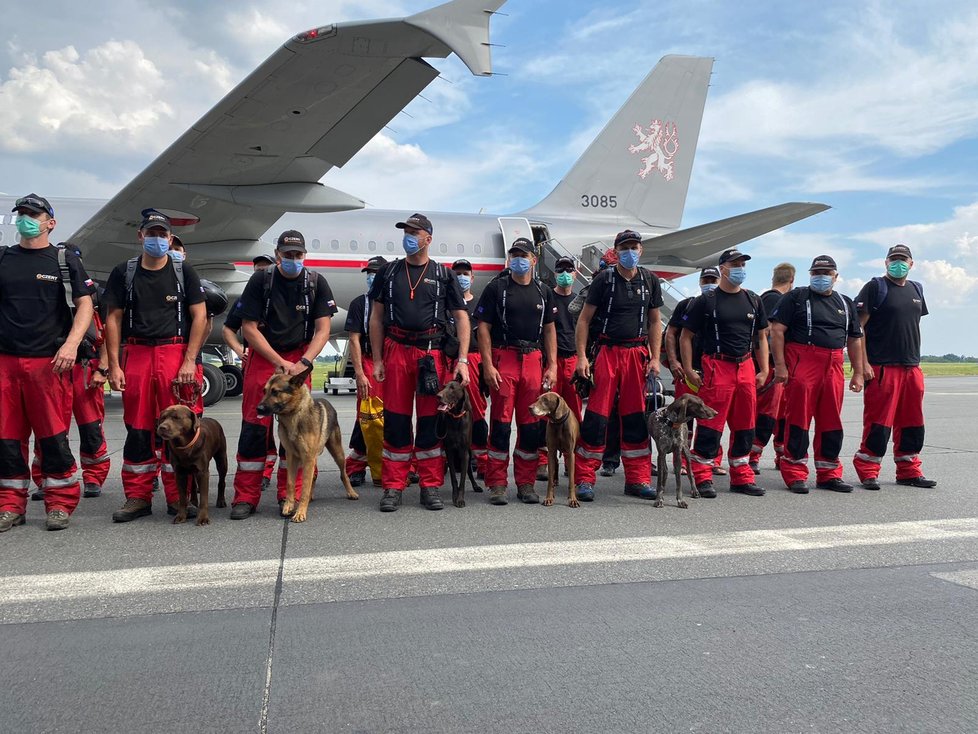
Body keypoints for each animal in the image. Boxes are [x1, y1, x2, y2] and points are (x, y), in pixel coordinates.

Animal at [255, 368, 358, 524]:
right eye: (264, 391)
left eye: (275, 392)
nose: (258, 409)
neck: (293, 415)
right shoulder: (291, 457)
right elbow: (290, 483)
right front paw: (288, 506)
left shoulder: (307, 457)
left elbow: (304, 487)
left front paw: (300, 512)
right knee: (313, 477)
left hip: (337, 453)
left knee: (343, 474)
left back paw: (351, 492)